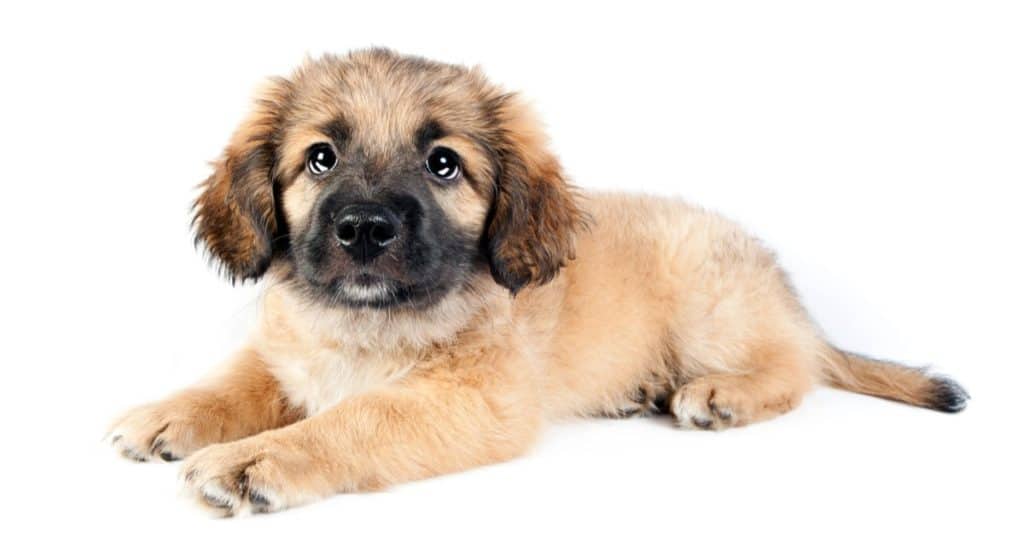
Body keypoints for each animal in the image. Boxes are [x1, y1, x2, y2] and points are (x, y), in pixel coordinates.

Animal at [112, 48, 966, 512]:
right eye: (321, 157)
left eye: (443, 163)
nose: (364, 230)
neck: (367, 325)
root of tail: (785, 290)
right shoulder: (284, 350)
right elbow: (233, 379)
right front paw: (168, 414)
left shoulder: (478, 398)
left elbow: (358, 417)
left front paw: (259, 459)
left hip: (709, 303)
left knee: (797, 366)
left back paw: (722, 390)